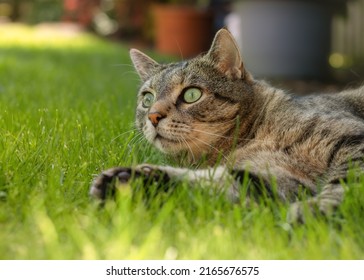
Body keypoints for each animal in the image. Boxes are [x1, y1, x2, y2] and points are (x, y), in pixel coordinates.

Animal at [90, 27, 364, 222]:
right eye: (147, 99)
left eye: (191, 94)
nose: (153, 116)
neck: (255, 135)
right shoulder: (276, 176)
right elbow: (217, 181)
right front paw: (128, 181)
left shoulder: (351, 139)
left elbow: (347, 182)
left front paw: (319, 210)